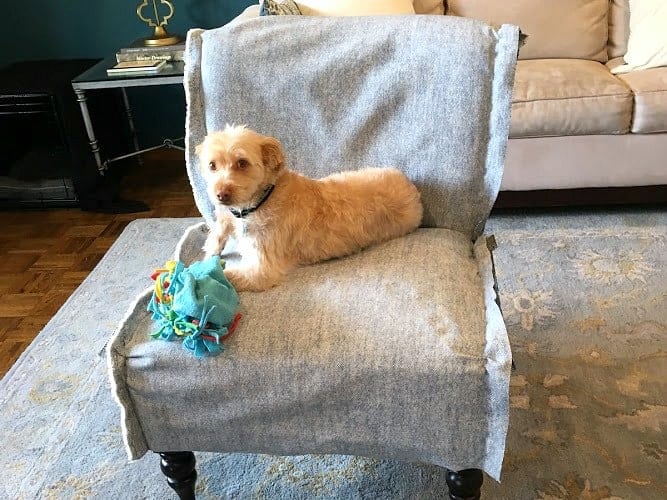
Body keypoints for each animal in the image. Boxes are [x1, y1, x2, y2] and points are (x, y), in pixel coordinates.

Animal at [196, 123, 422, 292]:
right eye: (212, 165)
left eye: (242, 163)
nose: (221, 194)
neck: (261, 200)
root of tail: (413, 190)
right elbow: (219, 229)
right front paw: (212, 248)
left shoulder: (263, 269)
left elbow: (225, 276)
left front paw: (197, 277)